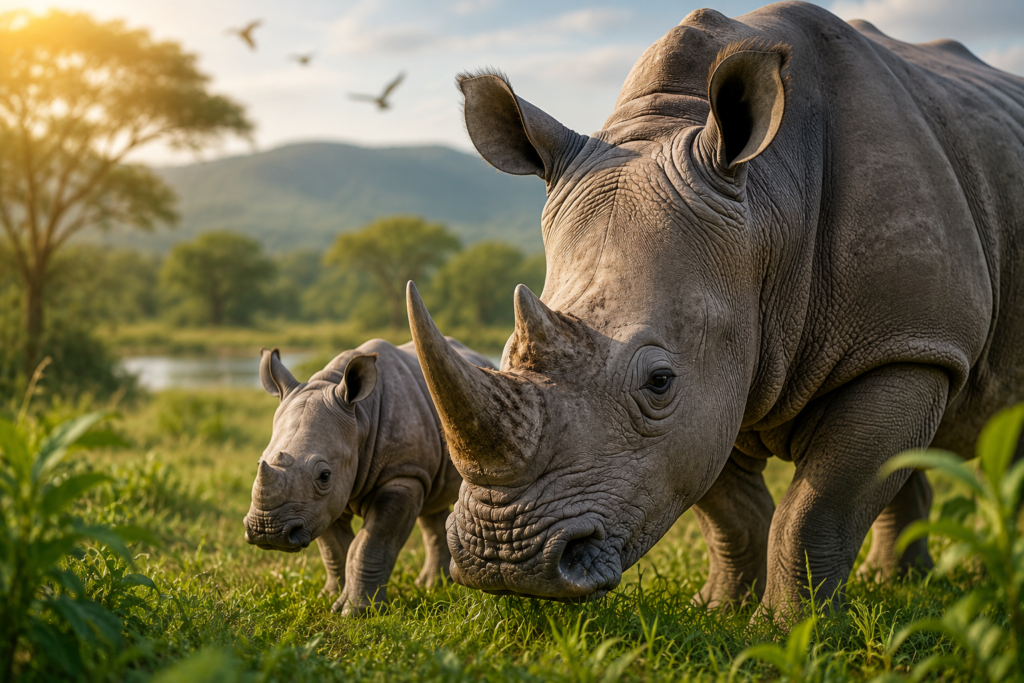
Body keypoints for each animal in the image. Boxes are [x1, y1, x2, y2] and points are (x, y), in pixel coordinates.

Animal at [242, 339, 494, 615]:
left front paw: (358, 611)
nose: (268, 530)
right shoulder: (319, 505)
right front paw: (330, 598)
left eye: (324, 476)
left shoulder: (402, 475)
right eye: (260, 461)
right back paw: (432, 586)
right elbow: (335, 548)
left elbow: (371, 544)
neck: (360, 417)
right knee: (432, 505)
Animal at [405, 1, 1024, 615]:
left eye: (659, 381)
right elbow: (728, 509)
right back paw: (896, 581)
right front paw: (721, 609)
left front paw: (787, 627)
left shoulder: (906, 343)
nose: (505, 560)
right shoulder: (722, 368)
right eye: (506, 353)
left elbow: (817, 509)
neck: (769, 204)